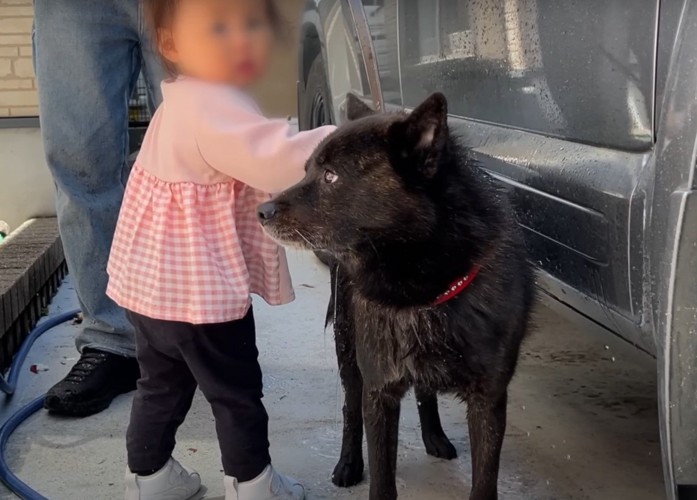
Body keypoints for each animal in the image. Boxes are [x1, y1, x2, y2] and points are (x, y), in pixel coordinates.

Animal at [258, 94, 532, 500]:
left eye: (330, 176)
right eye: (307, 170)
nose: (261, 211)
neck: (424, 291)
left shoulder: (489, 401)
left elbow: (484, 482)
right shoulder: (379, 391)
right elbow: (382, 477)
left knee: (424, 392)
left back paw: (434, 436)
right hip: (349, 353)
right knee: (350, 409)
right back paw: (349, 462)